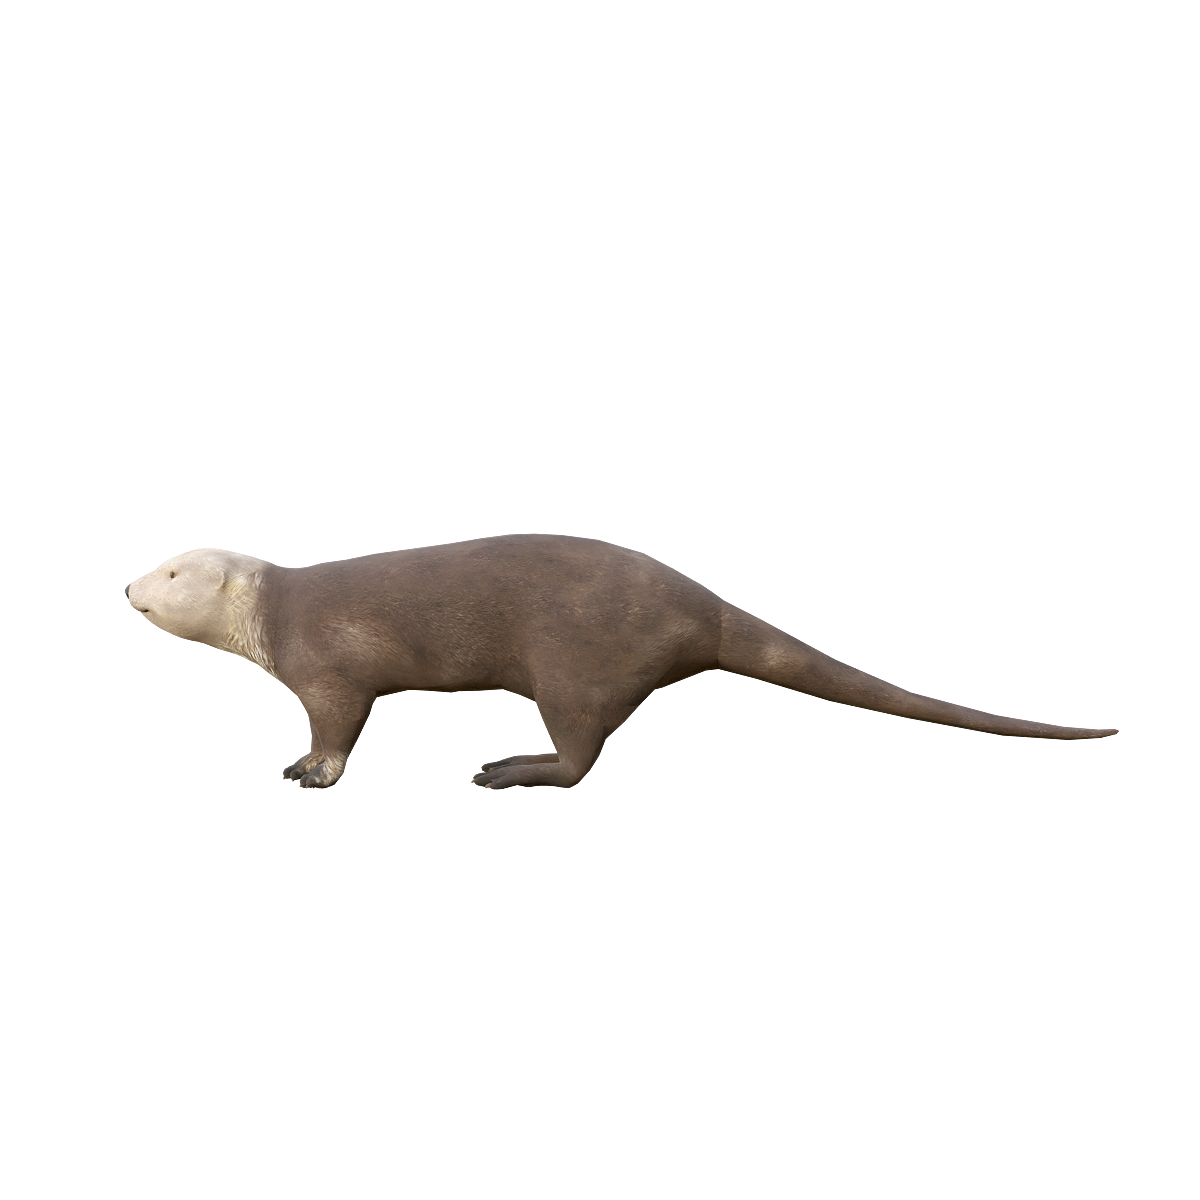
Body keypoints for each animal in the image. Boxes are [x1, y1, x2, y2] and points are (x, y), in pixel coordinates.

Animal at [125, 536, 1117, 788]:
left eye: (170, 571)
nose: (131, 590)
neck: (271, 610)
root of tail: (699, 604)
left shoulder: (323, 660)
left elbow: (337, 718)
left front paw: (313, 769)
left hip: (567, 653)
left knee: (577, 750)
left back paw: (508, 768)